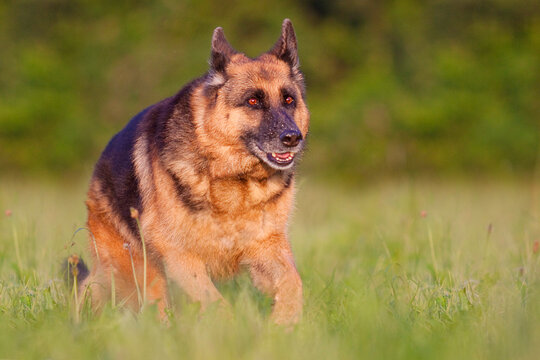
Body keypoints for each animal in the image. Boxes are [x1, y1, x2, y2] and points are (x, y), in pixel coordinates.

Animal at [78, 18, 310, 324]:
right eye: (253, 101)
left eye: (289, 100)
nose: (293, 138)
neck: (233, 182)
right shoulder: (180, 257)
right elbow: (216, 303)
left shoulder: (266, 248)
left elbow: (293, 283)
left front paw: (282, 325)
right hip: (133, 272)